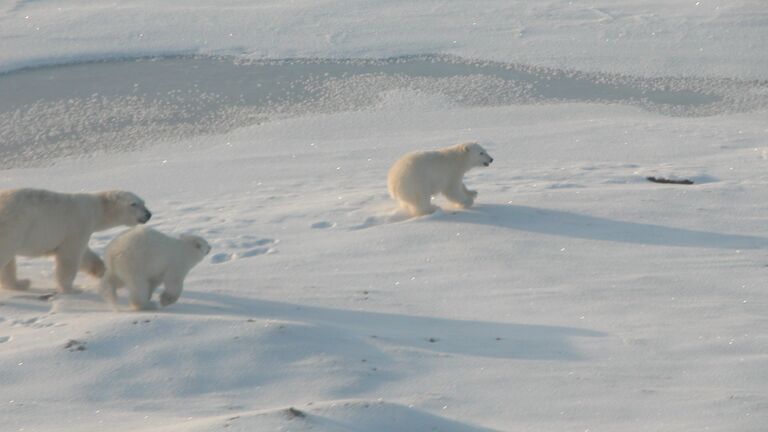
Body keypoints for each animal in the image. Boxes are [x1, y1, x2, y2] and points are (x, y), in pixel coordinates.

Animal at [0, 189, 152, 294]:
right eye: (133, 204)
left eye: (143, 202)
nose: (148, 214)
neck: (96, 209)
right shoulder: (78, 225)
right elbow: (69, 257)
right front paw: (72, 289)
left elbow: (86, 256)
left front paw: (104, 272)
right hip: (14, 227)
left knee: (8, 263)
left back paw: (21, 283)